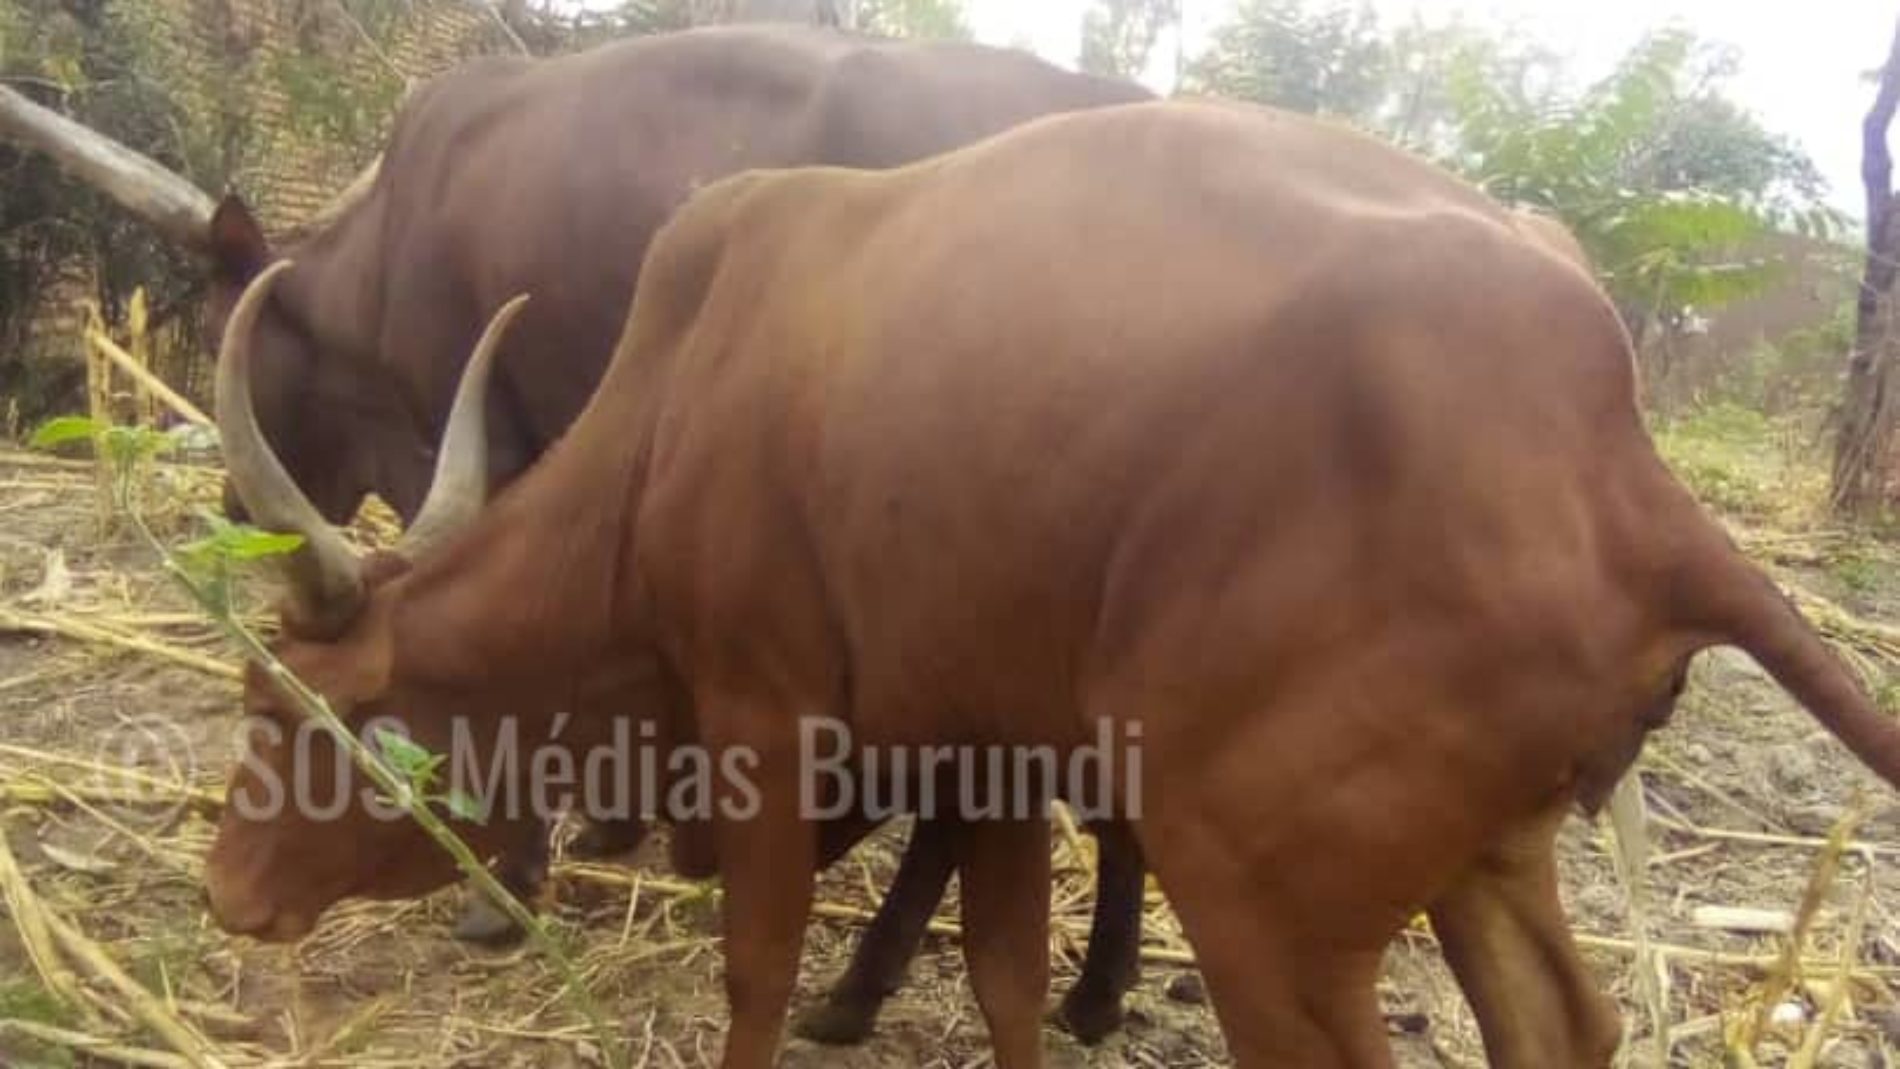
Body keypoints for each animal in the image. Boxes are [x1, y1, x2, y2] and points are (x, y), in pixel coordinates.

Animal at [201, 99, 1900, 1069]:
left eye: (279, 707)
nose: (227, 893)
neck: (677, 408)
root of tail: (1626, 466)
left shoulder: (766, 725)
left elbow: (758, 973)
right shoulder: (993, 754)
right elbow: (1009, 981)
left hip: (1264, 904)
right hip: (1487, 855)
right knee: (1564, 1027)